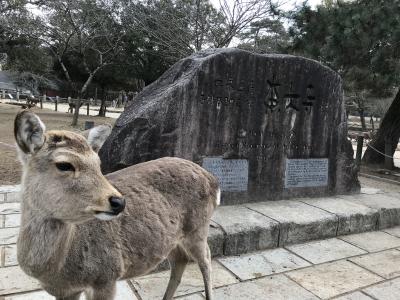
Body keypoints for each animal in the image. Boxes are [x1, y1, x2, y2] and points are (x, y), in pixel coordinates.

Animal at [14, 111, 220, 300]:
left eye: (98, 163)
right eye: (64, 165)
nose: (119, 202)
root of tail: (213, 180)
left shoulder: (107, 275)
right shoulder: (66, 292)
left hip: (198, 228)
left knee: (206, 258)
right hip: (174, 238)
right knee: (180, 261)